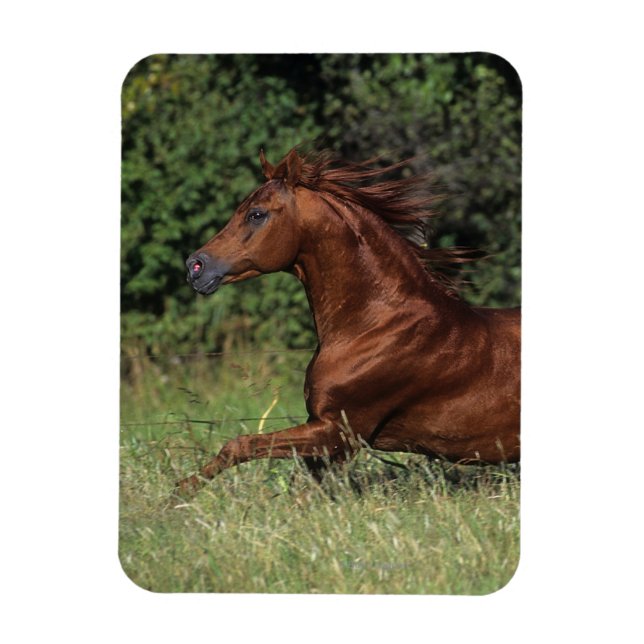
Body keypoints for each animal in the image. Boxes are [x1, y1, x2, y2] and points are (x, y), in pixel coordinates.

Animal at [177, 147, 520, 495]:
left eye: (256, 214)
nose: (195, 266)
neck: (377, 325)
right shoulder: (326, 435)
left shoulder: (340, 431)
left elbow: (240, 445)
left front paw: (181, 491)